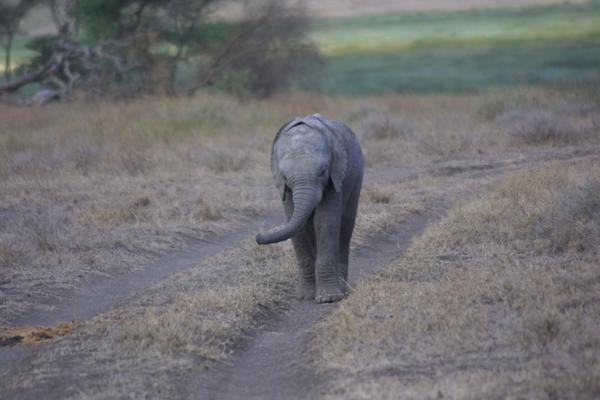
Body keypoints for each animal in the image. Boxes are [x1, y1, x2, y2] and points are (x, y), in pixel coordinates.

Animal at [255, 113, 364, 304]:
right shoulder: (285, 189)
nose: (257, 236)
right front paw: (305, 297)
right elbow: (299, 227)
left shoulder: (336, 176)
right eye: (285, 177)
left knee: (345, 227)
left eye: (322, 172)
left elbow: (325, 222)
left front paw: (328, 298)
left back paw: (343, 287)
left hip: (356, 177)